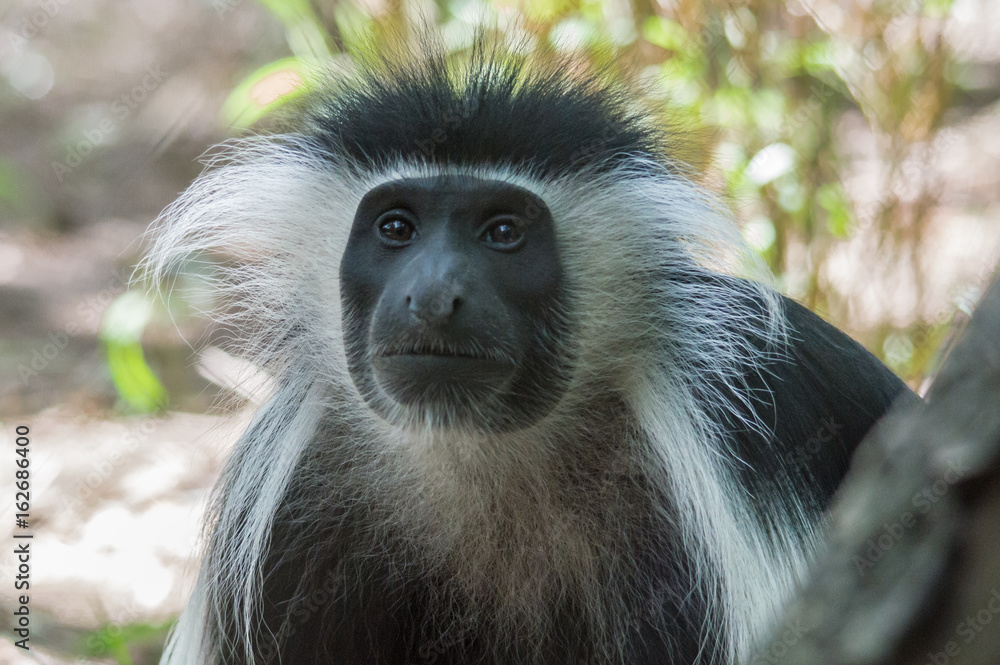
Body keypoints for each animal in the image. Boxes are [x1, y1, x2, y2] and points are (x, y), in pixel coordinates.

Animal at [144, 38, 913, 665]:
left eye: (503, 232)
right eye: (396, 228)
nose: (433, 296)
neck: (478, 455)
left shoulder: (710, 459)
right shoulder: (286, 498)